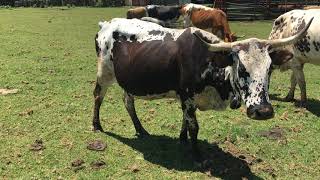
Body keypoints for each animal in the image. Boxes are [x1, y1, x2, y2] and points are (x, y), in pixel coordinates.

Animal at [93, 17, 312, 160]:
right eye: (241, 68)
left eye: (269, 69)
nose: (263, 111)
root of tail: (107, 24)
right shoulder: (188, 95)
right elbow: (194, 126)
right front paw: (196, 153)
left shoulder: (186, 98)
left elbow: (185, 120)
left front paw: (182, 140)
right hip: (104, 72)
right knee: (98, 96)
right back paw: (97, 125)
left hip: (127, 80)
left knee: (128, 101)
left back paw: (140, 129)